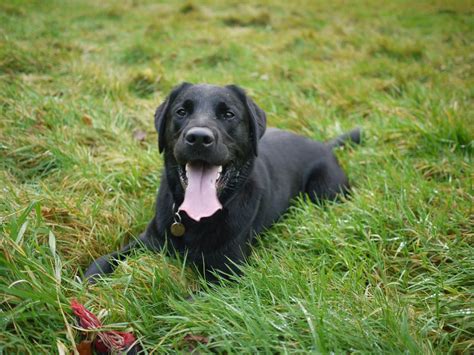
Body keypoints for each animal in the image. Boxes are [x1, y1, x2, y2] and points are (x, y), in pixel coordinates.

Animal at [85, 82, 360, 280]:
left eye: (229, 114)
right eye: (181, 112)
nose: (198, 138)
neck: (196, 219)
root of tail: (324, 145)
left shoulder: (228, 275)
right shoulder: (149, 240)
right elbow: (104, 261)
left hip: (325, 192)